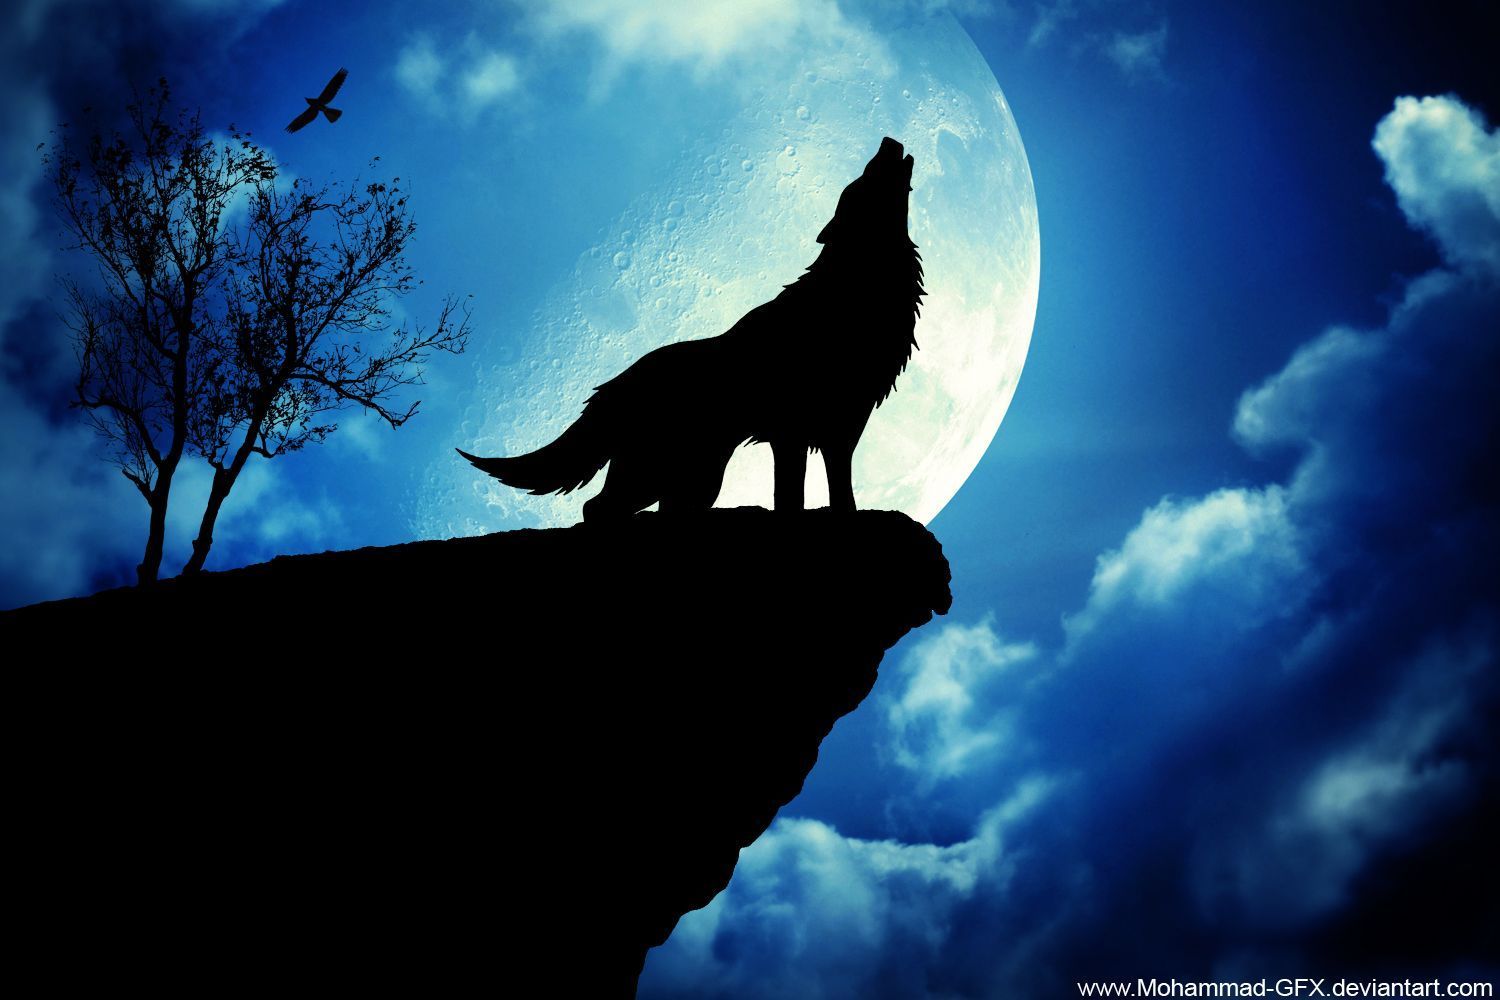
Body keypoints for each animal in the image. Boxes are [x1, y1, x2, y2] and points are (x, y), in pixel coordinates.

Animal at [459, 136, 925, 521]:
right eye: (862, 178)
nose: (888, 140)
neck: (848, 294)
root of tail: (613, 385)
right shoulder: (790, 433)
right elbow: (790, 497)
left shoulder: (842, 429)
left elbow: (840, 492)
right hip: (661, 471)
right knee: (597, 508)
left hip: (694, 477)